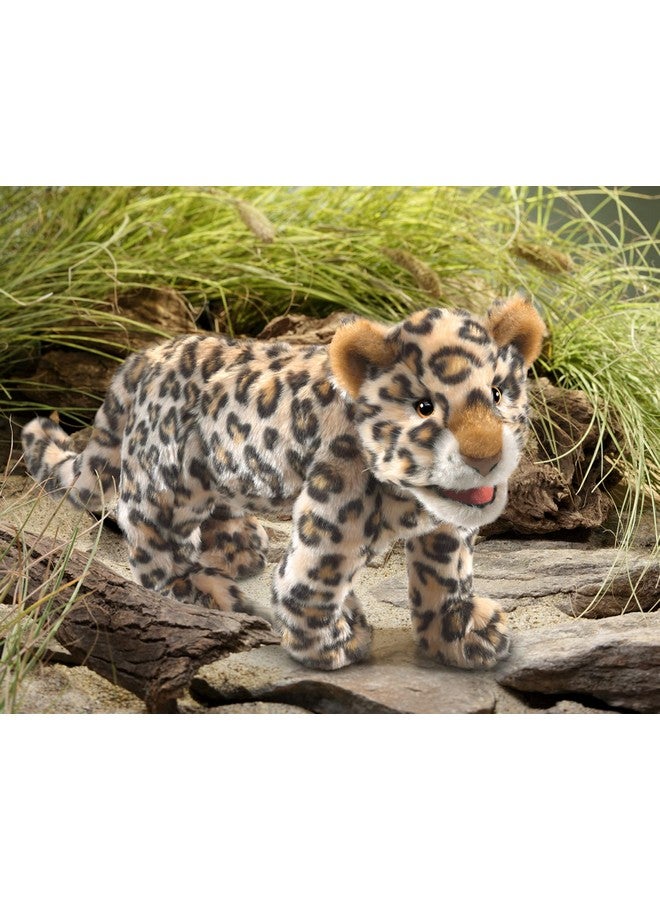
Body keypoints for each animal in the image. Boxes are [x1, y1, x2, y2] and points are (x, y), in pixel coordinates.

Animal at [21, 292, 546, 671]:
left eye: (498, 393)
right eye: (424, 408)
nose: (486, 457)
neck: (411, 495)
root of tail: (144, 357)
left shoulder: (444, 528)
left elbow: (444, 577)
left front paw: (460, 633)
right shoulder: (333, 516)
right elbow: (310, 579)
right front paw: (332, 643)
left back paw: (236, 545)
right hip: (168, 482)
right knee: (151, 540)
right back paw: (204, 592)